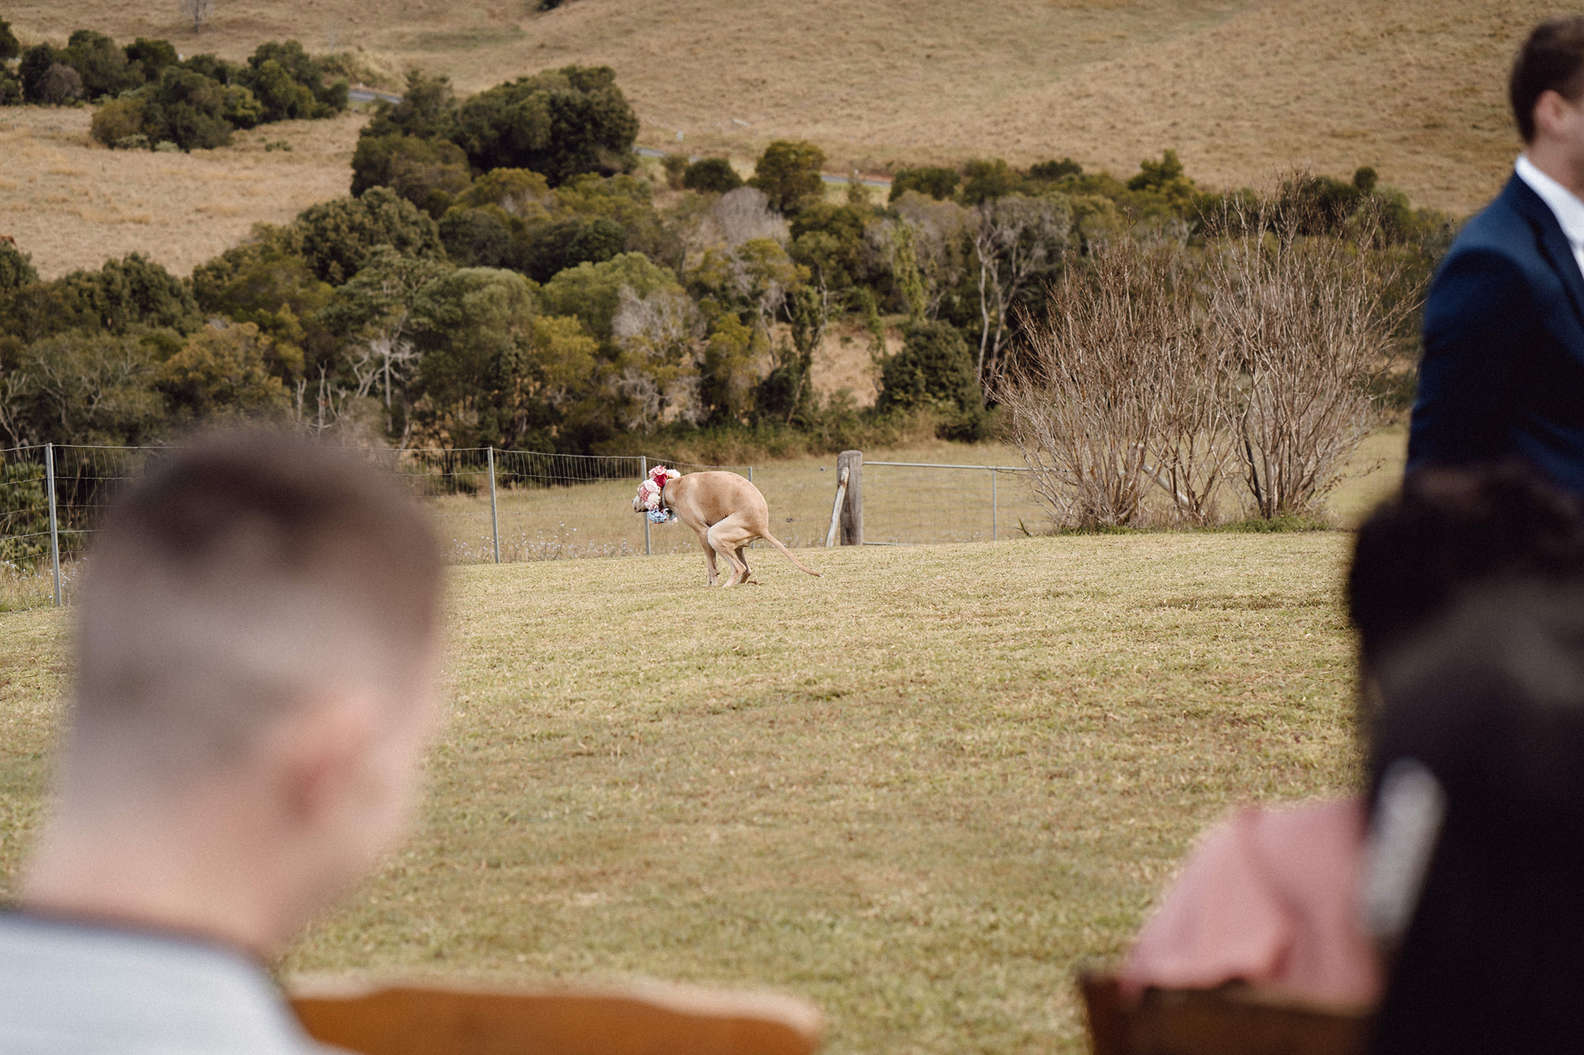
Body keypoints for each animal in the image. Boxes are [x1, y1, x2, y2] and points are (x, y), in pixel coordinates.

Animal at [636, 468, 823, 582]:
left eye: (639, 492)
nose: (633, 504)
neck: (672, 486)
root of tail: (763, 527)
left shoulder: (702, 532)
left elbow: (711, 564)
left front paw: (713, 582)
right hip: (735, 541)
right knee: (746, 569)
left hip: (715, 534)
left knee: (739, 568)